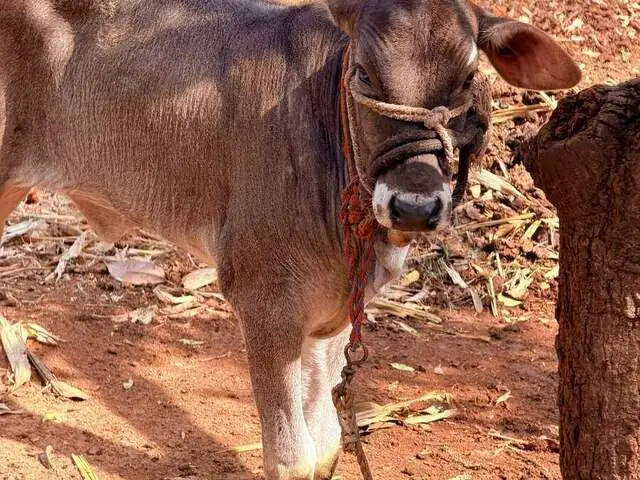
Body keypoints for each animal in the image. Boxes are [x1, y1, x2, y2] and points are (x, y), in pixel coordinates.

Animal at [0, 0, 580, 478]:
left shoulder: (334, 311)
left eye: (466, 78)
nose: (414, 206)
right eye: (364, 73)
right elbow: (293, 457)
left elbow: (325, 443)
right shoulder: (264, 300)